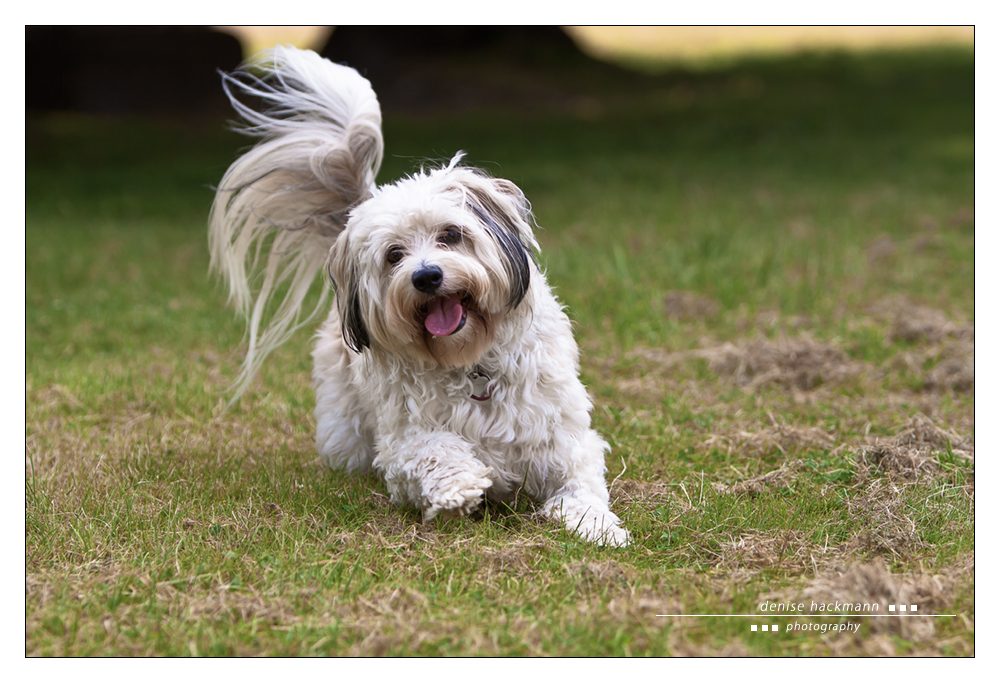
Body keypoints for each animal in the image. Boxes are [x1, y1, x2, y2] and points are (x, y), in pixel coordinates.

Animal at [210, 45, 628, 548]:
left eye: (451, 234)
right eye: (394, 255)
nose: (427, 276)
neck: (470, 364)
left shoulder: (564, 439)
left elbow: (580, 484)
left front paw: (597, 524)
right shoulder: (401, 444)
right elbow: (432, 448)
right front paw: (461, 485)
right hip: (344, 430)